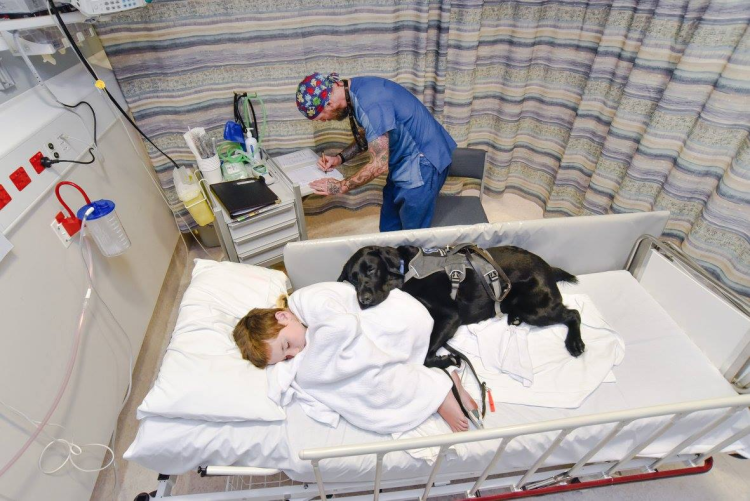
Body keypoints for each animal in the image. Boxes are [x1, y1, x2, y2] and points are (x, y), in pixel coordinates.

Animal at [340, 244, 588, 370]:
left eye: (371, 269)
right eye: (353, 279)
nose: (363, 299)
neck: (408, 269)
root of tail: (547, 267)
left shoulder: (451, 316)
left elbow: (425, 357)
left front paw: (447, 360)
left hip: (537, 310)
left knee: (573, 313)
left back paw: (575, 343)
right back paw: (514, 318)